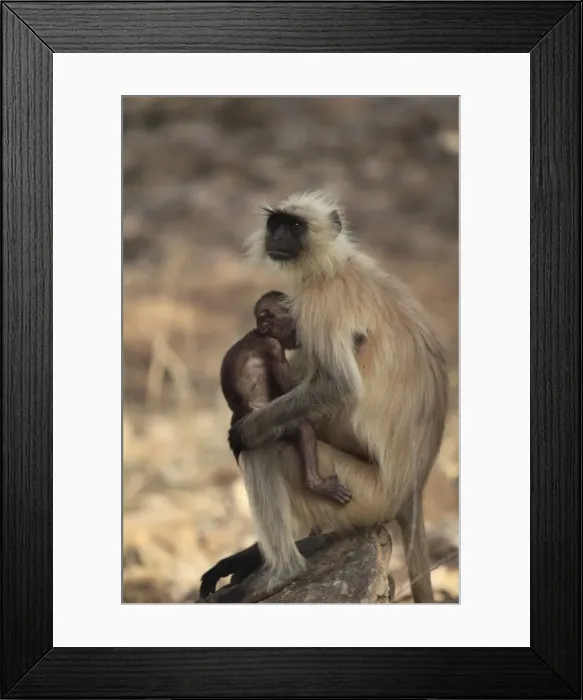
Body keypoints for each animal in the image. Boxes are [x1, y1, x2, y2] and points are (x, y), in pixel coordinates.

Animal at [220, 289, 352, 505]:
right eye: (294, 322)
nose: (300, 335)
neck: (259, 333)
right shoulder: (273, 347)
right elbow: (288, 388)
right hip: (265, 430)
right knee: (302, 427)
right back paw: (315, 484)